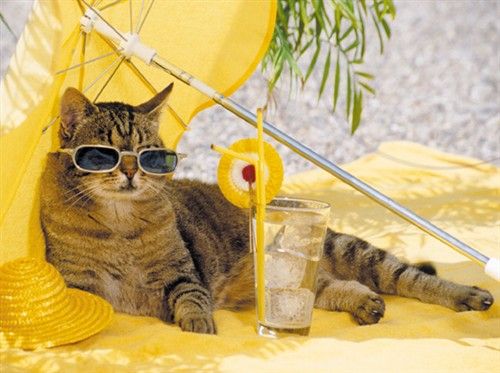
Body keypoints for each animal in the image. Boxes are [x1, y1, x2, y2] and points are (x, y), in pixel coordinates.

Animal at [41, 85, 494, 332]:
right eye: (107, 153)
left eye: (148, 153)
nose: (133, 170)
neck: (119, 222)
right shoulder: (80, 286)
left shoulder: (183, 275)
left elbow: (192, 299)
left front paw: (198, 325)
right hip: (293, 281)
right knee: (328, 290)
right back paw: (365, 304)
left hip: (352, 251)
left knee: (412, 280)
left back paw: (468, 295)